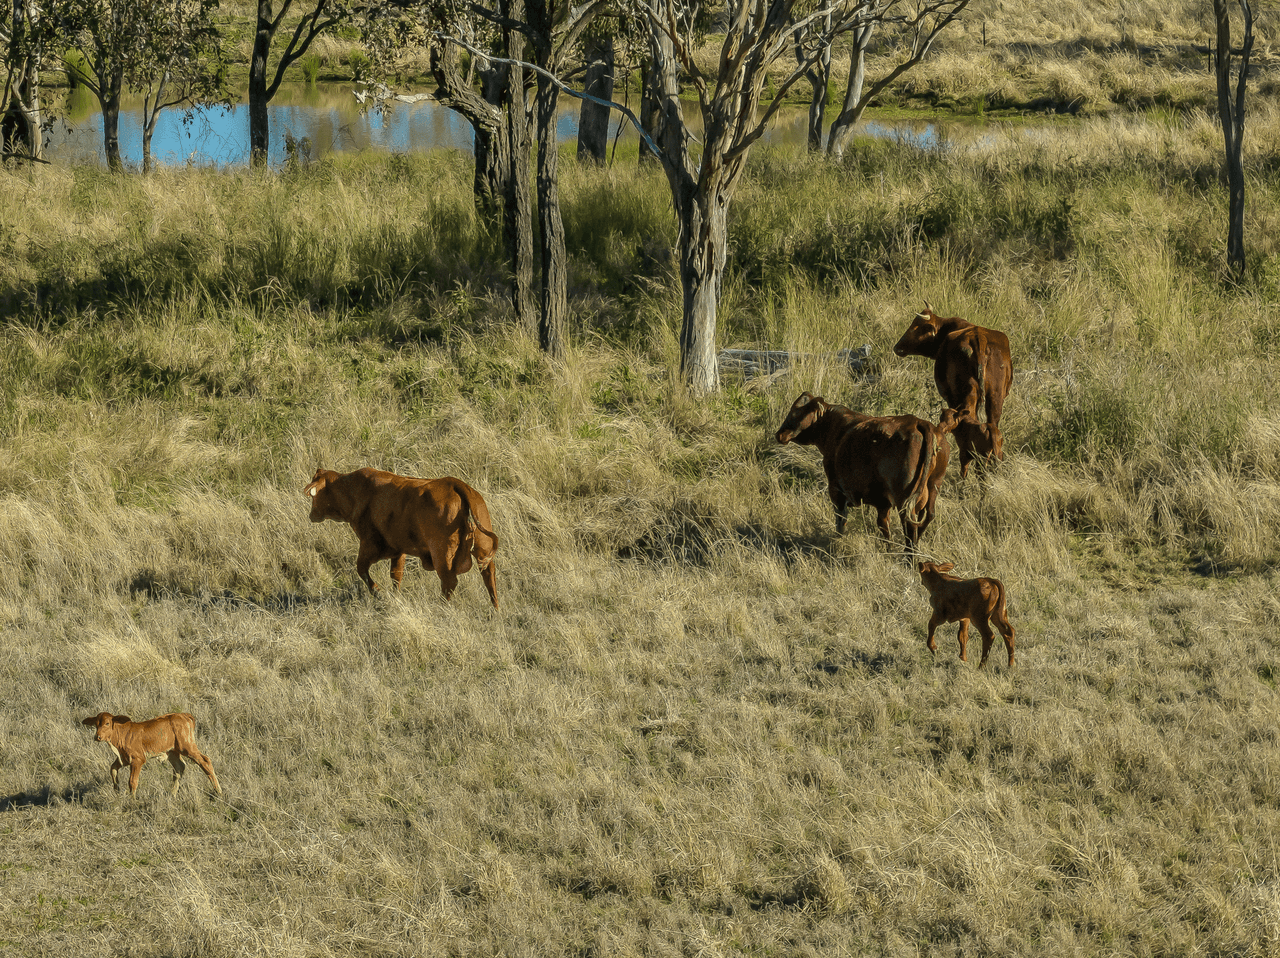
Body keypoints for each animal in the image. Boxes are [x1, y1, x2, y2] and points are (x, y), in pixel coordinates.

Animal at [82, 706, 222, 799]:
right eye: (95, 724)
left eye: (107, 723)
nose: (98, 737)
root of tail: (184, 715)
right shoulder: (124, 759)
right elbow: (113, 769)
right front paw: (117, 790)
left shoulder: (138, 759)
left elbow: (132, 781)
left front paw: (132, 800)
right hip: (173, 751)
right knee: (179, 767)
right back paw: (172, 795)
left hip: (187, 746)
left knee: (205, 761)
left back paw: (218, 791)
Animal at [302, 463, 496, 607]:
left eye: (314, 495)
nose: (311, 515)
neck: (353, 491)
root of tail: (454, 483)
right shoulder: (398, 549)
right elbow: (396, 575)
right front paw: (395, 598)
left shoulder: (369, 543)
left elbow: (361, 569)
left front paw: (377, 591)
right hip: (484, 547)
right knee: (489, 576)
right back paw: (496, 611)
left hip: (442, 552)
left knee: (449, 581)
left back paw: (441, 606)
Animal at [768, 391, 962, 553]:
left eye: (796, 412)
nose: (780, 434)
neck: (835, 427)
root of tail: (919, 422)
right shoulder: (882, 501)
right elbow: (883, 525)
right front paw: (888, 549)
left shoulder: (836, 489)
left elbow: (841, 519)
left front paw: (838, 542)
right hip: (934, 483)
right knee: (928, 515)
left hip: (903, 494)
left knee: (909, 523)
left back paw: (910, 556)